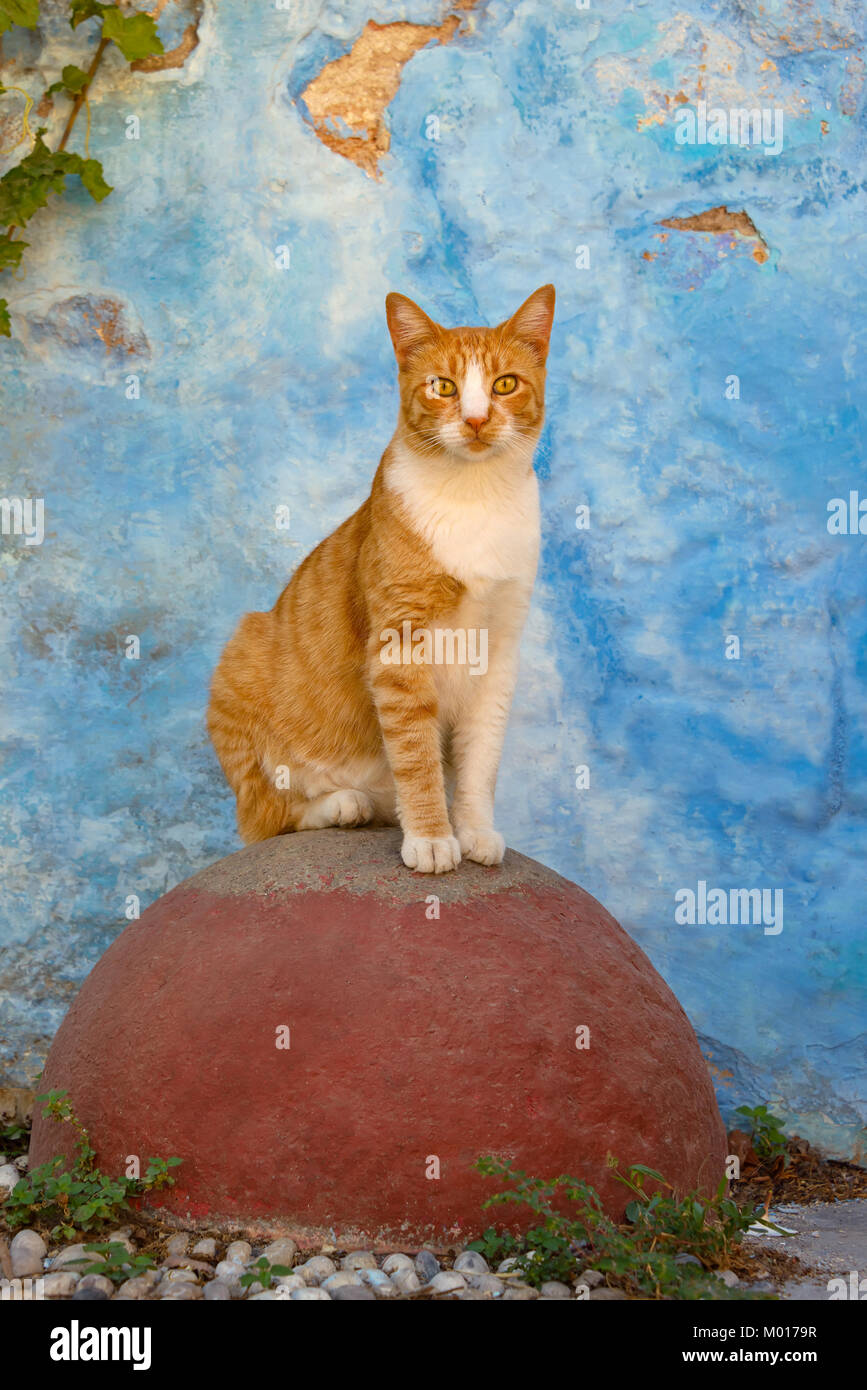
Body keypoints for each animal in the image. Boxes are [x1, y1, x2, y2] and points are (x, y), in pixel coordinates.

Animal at [207, 282, 552, 867]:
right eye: (443, 386)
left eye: (505, 384)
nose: (476, 419)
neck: (475, 497)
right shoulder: (399, 643)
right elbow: (416, 753)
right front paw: (433, 838)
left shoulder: (499, 650)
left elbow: (481, 758)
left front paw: (474, 828)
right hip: (242, 658)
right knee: (268, 819)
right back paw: (342, 803)